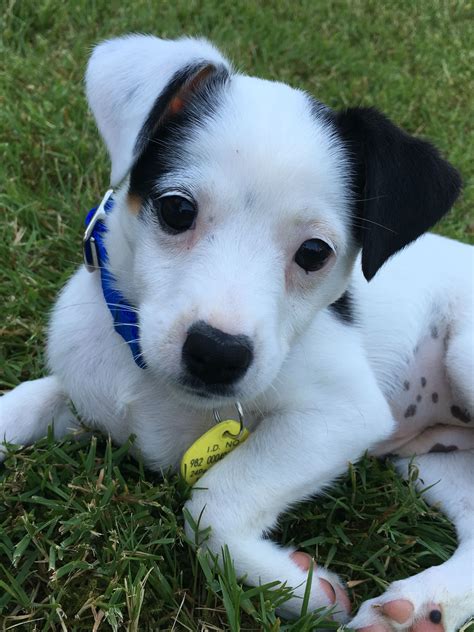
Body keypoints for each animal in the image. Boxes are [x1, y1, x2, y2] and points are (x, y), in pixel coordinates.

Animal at [0, 35, 474, 632]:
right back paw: (423, 606)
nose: (216, 354)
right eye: (177, 209)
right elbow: (26, 403)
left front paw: (298, 589)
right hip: (428, 462)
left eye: (314, 252)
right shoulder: (86, 388)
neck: (151, 384)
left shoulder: (340, 415)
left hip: (462, 356)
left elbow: (212, 503)